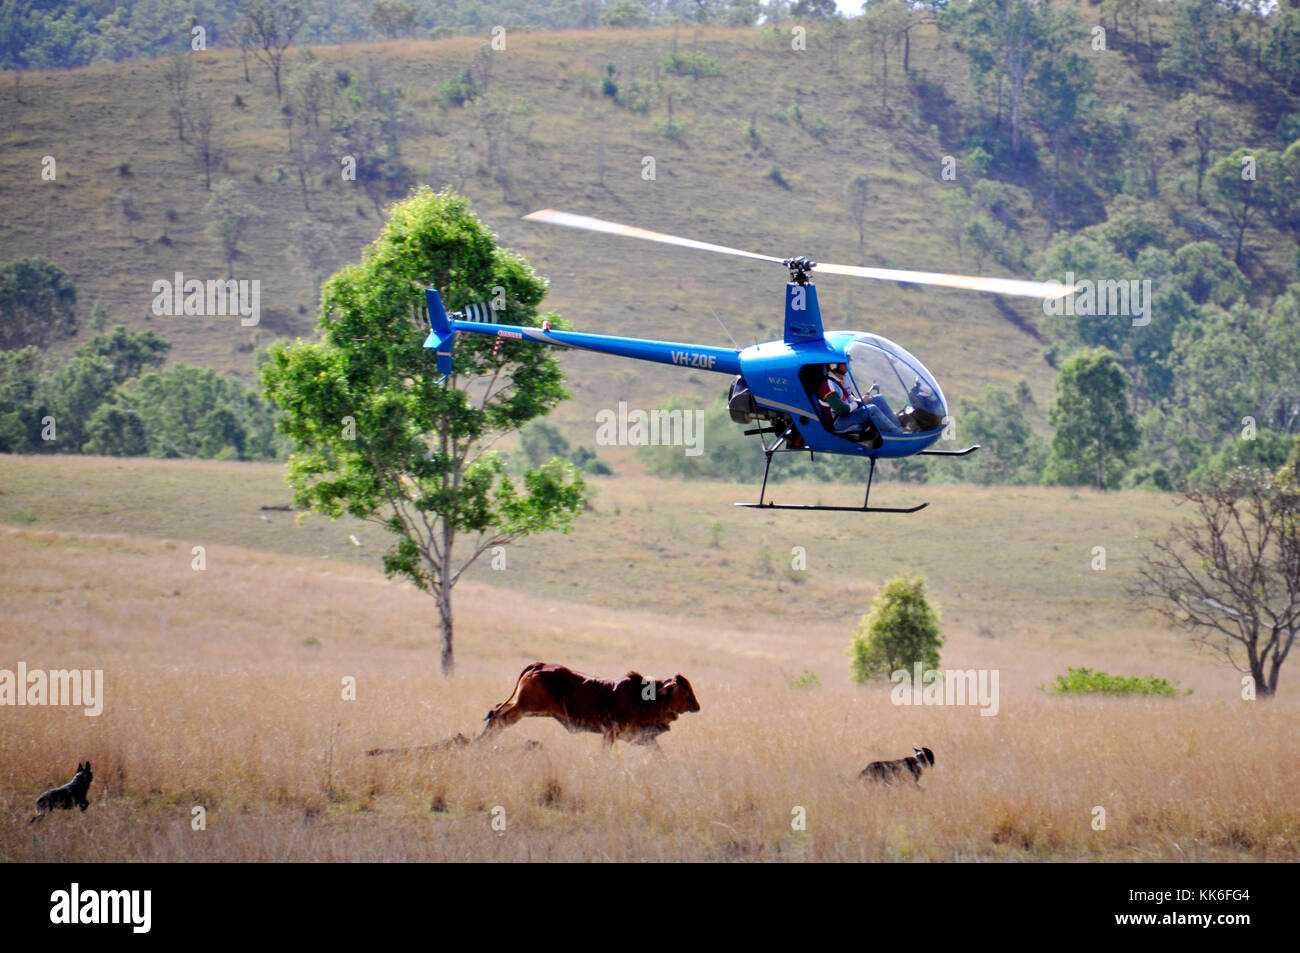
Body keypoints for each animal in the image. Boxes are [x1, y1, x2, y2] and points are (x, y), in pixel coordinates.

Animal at [481, 662, 701, 748]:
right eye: (685, 688)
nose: (697, 706)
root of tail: (540, 665)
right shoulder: (610, 733)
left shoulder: (644, 738)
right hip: (525, 708)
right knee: (499, 718)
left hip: (525, 707)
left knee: (496, 711)